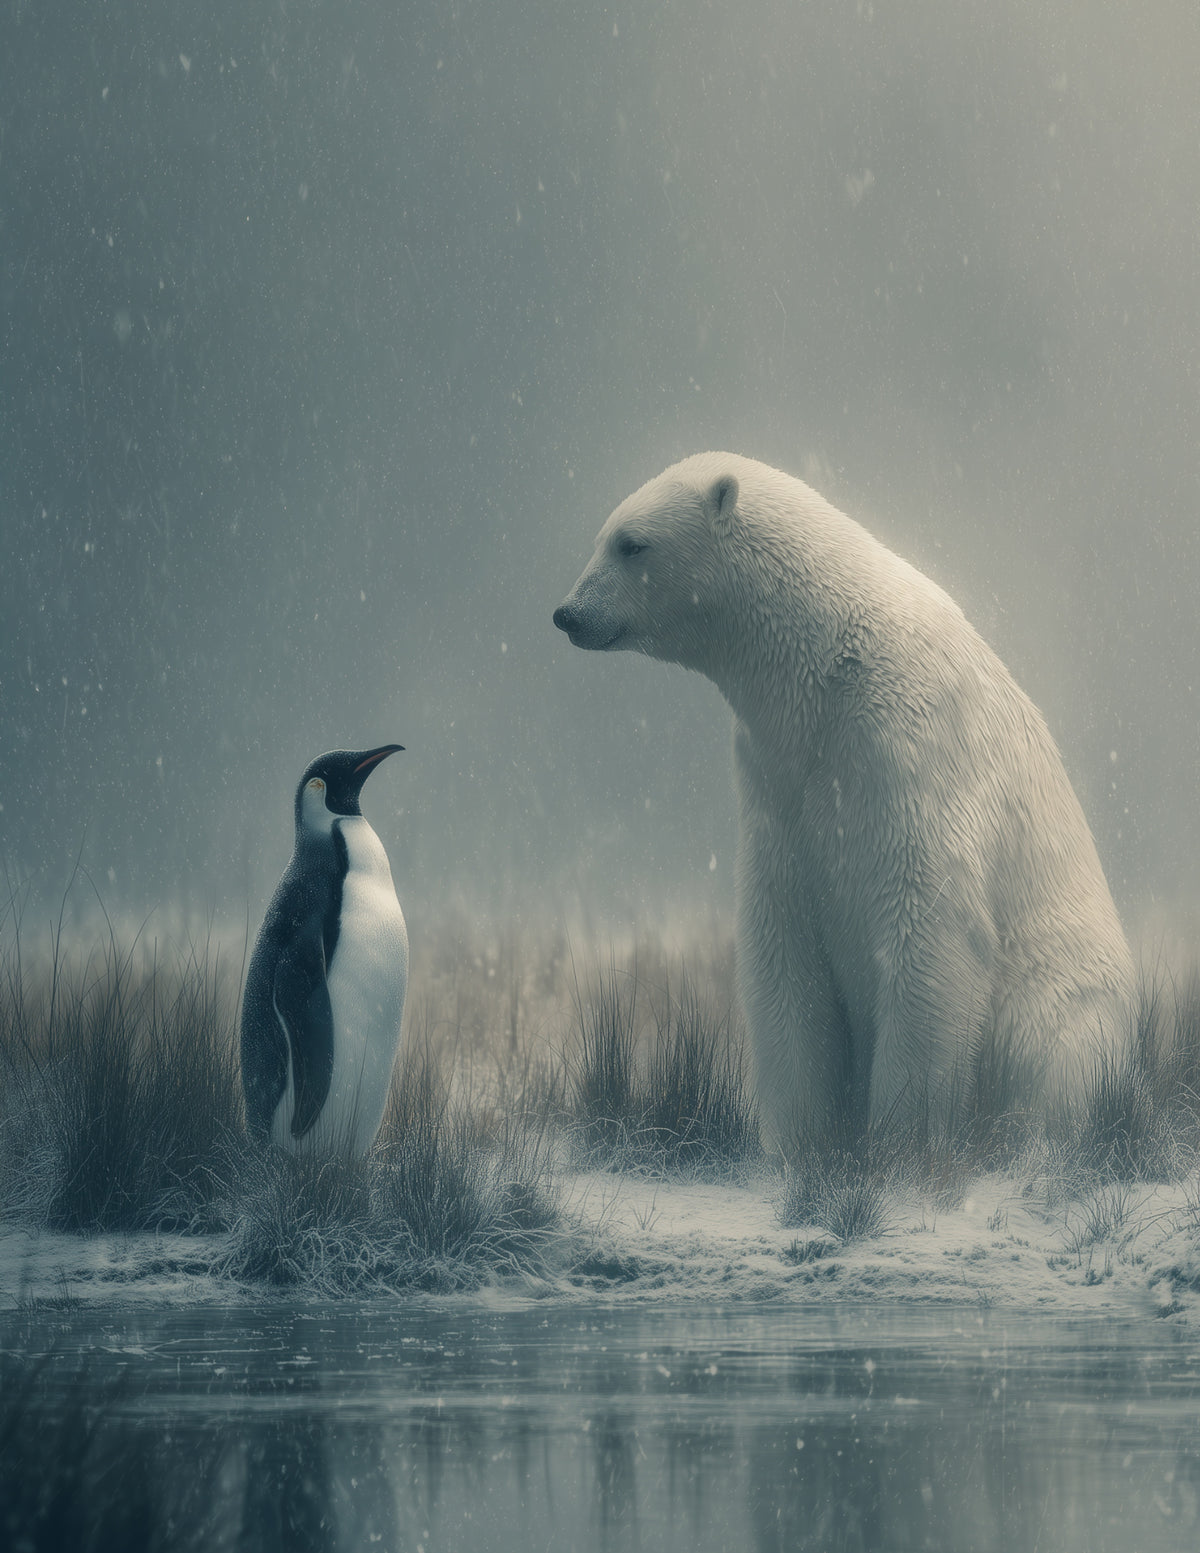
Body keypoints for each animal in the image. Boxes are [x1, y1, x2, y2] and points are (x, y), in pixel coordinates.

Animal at [553, 452, 1135, 1154]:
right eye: (601, 536)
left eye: (631, 543)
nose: (567, 614)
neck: (830, 662)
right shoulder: (776, 785)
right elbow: (783, 948)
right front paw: (801, 1140)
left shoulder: (907, 751)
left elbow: (930, 930)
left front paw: (898, 1140)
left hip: (1063, 991)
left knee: (1056, 1061)